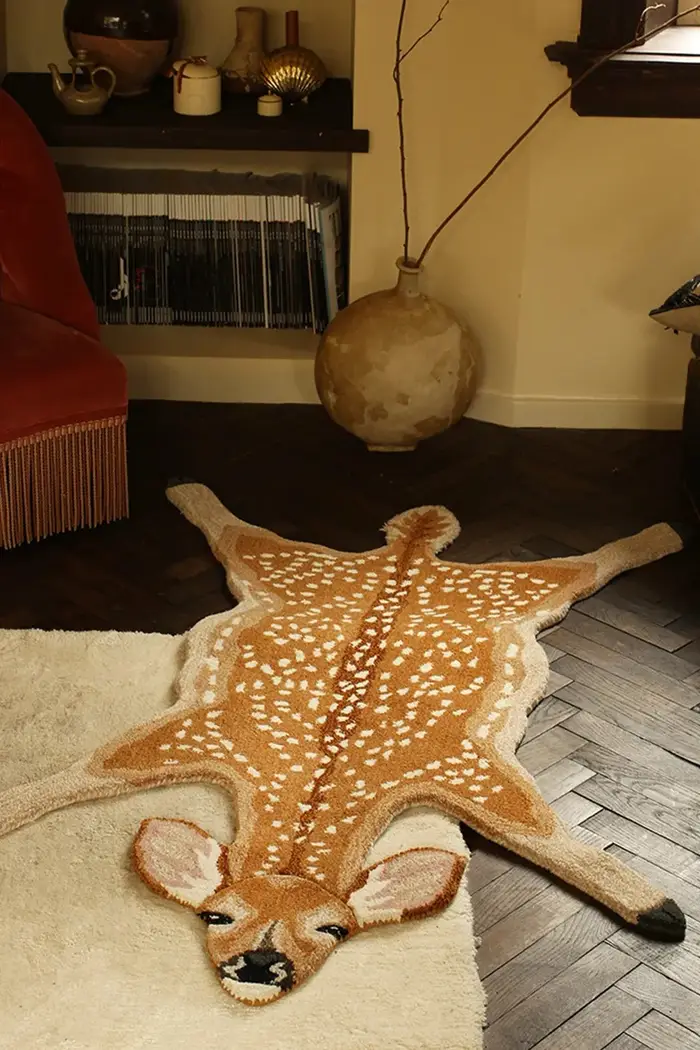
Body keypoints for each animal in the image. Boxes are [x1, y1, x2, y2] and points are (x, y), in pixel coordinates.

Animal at [0, 482, 688, 1006]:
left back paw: (664, 534)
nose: (258, 966)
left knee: (587, 562)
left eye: (336, 930)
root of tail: (407, 556)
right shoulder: (196, 731)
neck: (315, 791)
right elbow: (83, 772)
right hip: (289, 566)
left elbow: (551, 839)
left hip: (521, 589)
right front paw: (11, 807)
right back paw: (187, 489)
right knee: (237, 531)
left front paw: (658, 908)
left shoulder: (467, 769)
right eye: (216, 915)